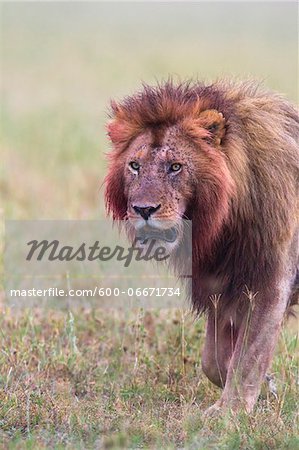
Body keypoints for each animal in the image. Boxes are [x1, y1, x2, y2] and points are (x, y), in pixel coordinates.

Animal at [104, 80, 298, 412]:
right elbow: (214, 359)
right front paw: (265, 387)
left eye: (175, 166)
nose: (143, 209)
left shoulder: (270, 284)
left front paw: (230, 412)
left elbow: (248, 355)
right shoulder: (219, 284)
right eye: (134, 166)